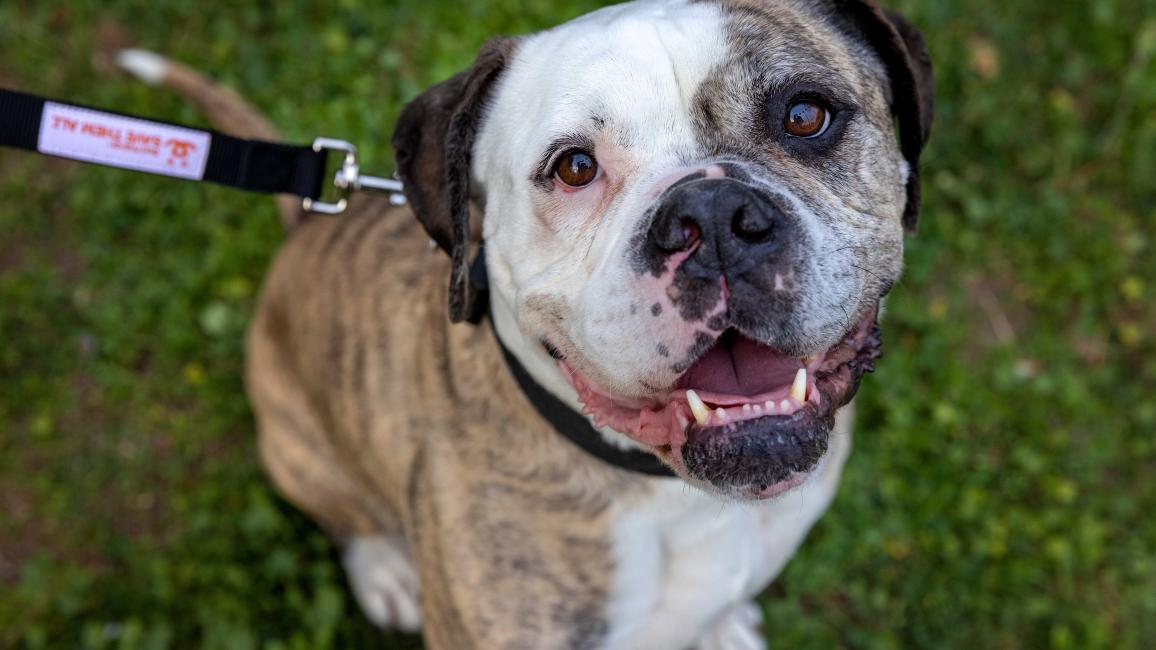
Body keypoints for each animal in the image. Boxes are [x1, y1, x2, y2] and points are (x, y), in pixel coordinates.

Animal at [119, 0, 929, 643]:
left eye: (805, 115)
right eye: (574, 167)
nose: (713, 217)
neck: (673, 496)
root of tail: (306, 227)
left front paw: (721, 628)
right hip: (296, 445)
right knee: (346, 513)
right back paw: (385, 569)